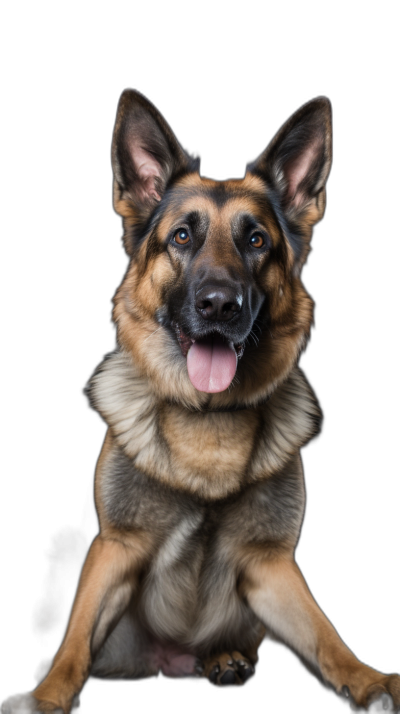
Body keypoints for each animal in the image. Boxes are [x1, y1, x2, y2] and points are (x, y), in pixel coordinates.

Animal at [1, 92, 398, 708]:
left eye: (256, 240)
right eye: (182, 238)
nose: (218, 305)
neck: (206, 424)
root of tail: (171, 660)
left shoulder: (270, 566)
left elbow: (324, 634)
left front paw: (366, 678)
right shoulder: (114, 548)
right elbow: (75, 643)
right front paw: (45, 696)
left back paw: (224, 658)